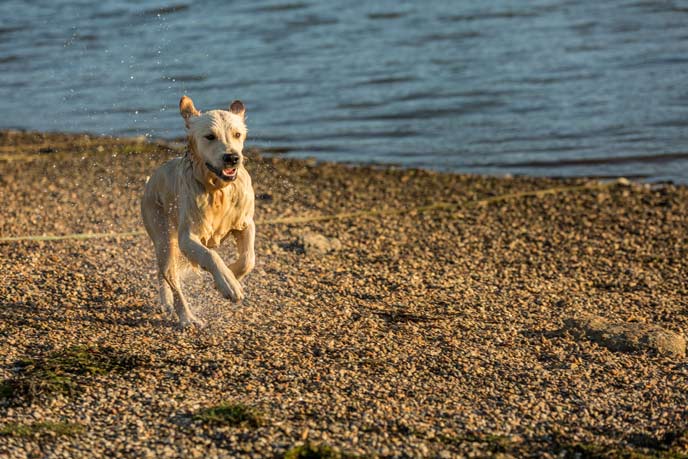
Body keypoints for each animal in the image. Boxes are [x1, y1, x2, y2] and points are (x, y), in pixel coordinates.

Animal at [140, 96, 255, 328]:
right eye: (210, 136)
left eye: (237, 134)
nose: (232, 157)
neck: (218, 189)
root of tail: (150, 181)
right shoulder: (187, 236)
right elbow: (210, 254)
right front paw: (228, 283)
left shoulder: (245, 222)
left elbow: (249, 258)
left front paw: (231, 276)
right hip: (164, 236)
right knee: (170, 276)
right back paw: (187, 317)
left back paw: (166, 303)